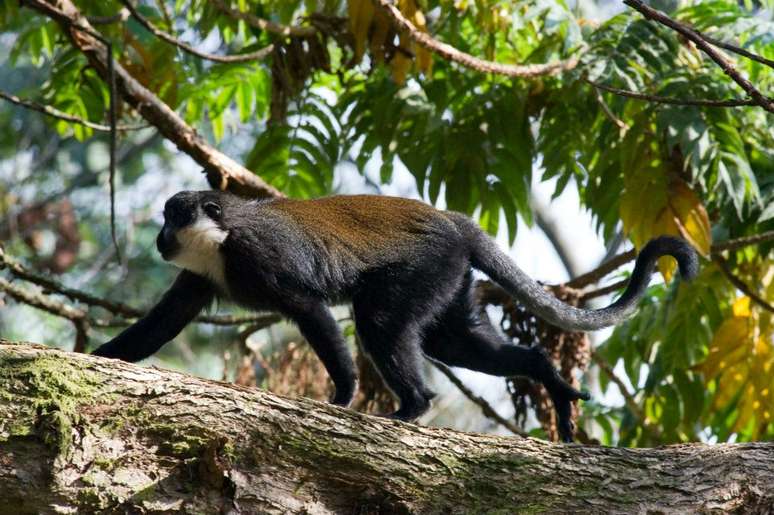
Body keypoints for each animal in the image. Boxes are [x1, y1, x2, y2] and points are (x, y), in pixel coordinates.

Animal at [92, 191, 704, 442]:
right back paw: (545, 376)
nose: (159, 237)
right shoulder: (201, 274)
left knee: (380, 323)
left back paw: (413, 405)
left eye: (171, 217)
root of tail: (456, 223)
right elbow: (162, 323)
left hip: (427, 266)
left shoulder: (258, 258)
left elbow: (309, 308)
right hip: (452, 279)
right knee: (453, 345)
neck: (219, 238)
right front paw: (95, 357)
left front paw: (342, 395)